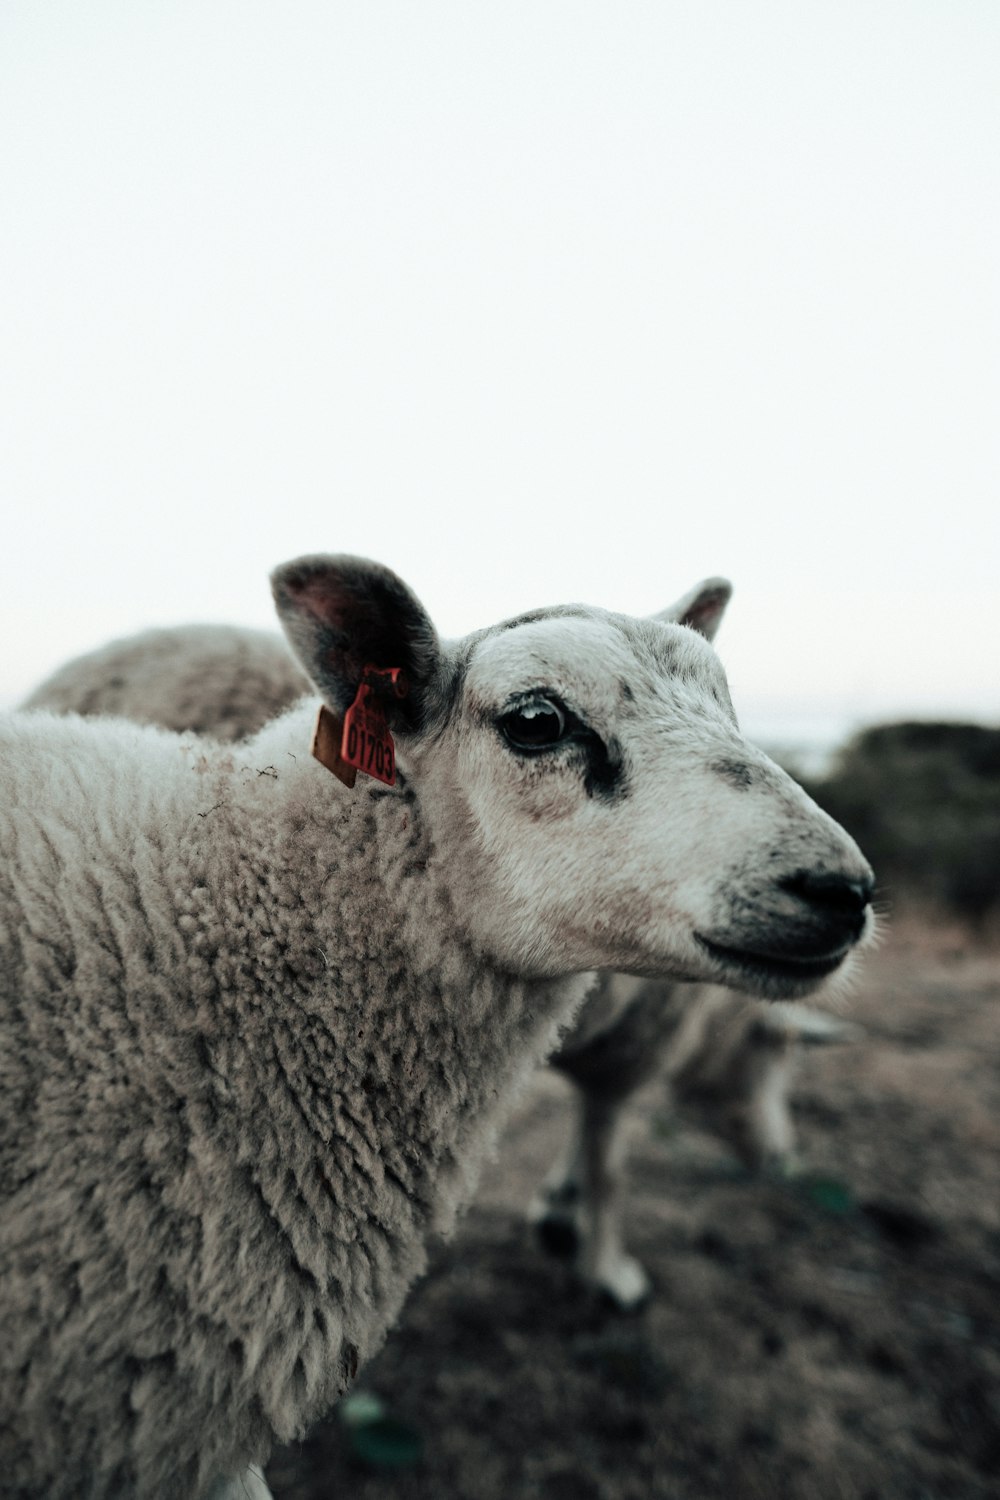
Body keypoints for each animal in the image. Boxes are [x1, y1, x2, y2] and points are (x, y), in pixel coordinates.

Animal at [1, 558, 875, 1494]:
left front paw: (560, 1217)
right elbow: (611, 1163)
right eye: (536, 721)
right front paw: (607, 1267)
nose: (844, 890)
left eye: (729, 704)